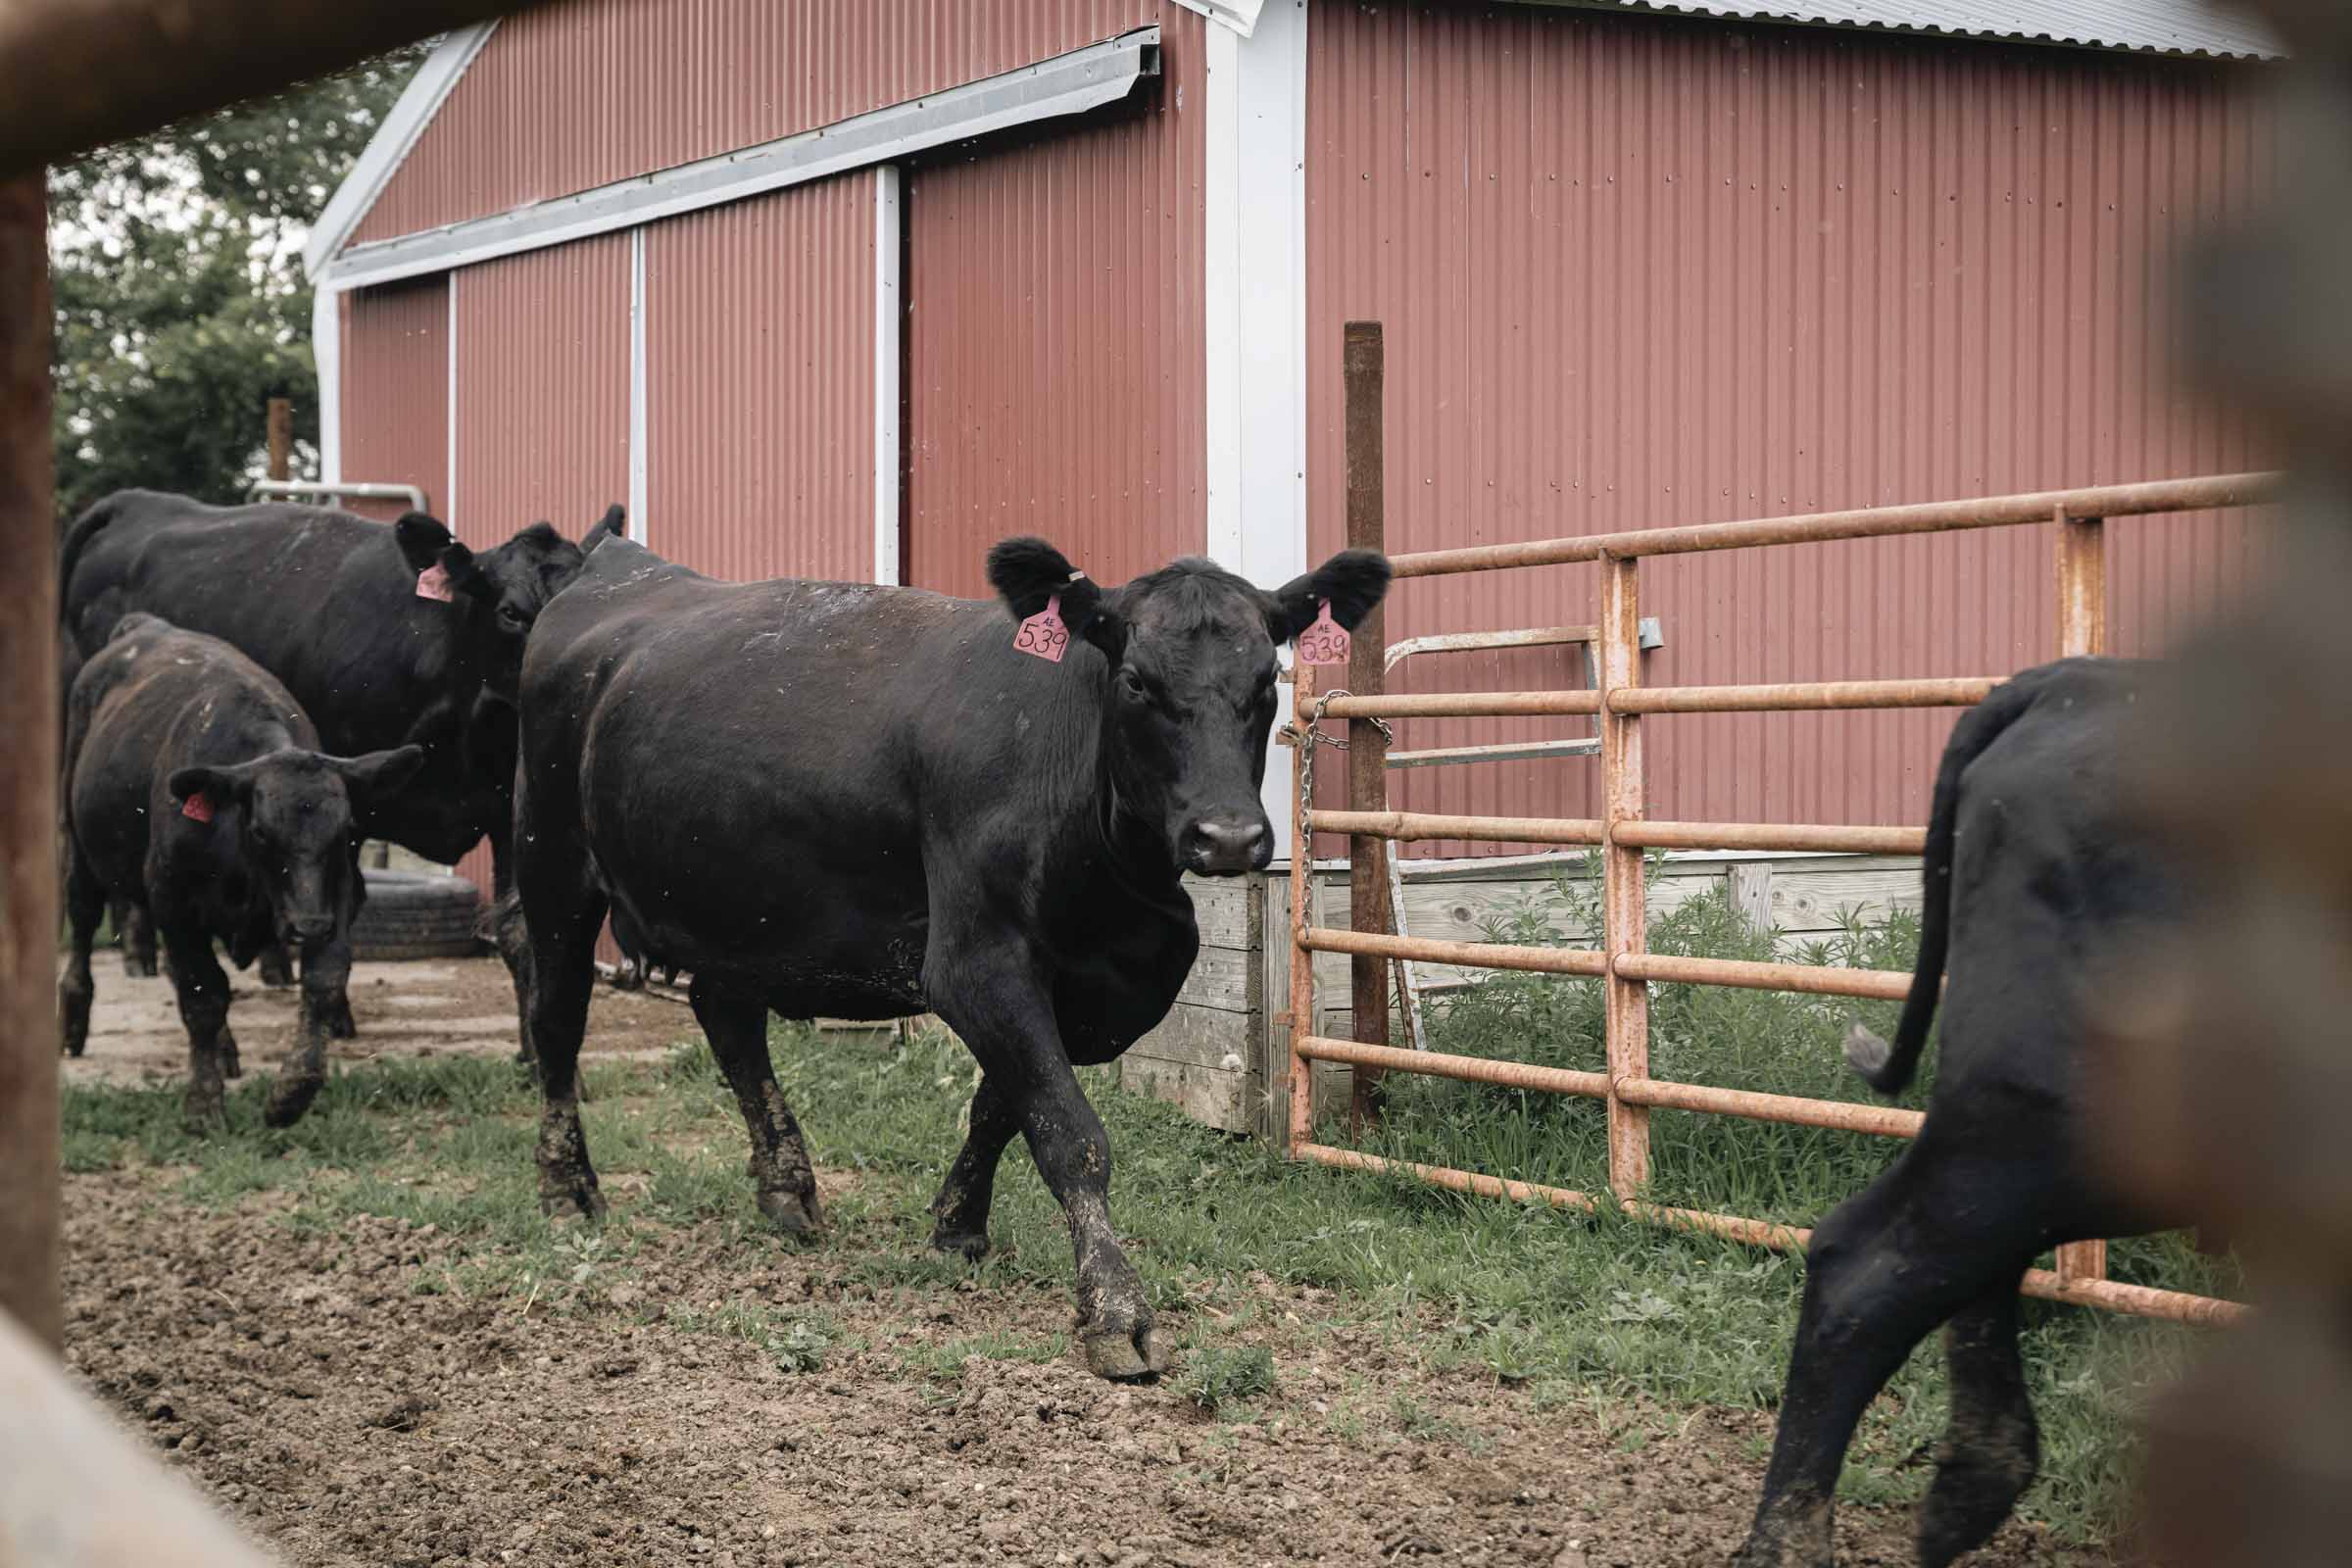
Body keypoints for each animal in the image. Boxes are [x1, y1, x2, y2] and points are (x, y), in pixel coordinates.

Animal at [57, 489, 624, 1053]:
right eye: (511, 612)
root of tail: (135, 501)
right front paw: (332, 1018)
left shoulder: (507, 810)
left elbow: (520, 931)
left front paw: (531, 1052)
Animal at [60, 614, 424, 1128]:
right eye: (260, 831)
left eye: (347, 828)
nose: (308, 925)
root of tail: (144, 626)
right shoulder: (173, 901)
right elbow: (202, 996)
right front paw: (203, 1103)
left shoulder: (337, 893)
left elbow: (323, 982)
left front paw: (293, 1090)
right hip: (78, 839)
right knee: (83, 917)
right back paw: (74, 1017)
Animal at [501, 534, 1388, 1381]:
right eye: (1136, 681)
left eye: (1267, 681)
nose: (1228, 837)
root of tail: (619, 566)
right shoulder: (972, 960)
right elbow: (1070, 1131)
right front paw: (1115, 1310)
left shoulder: (1106, 981)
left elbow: (1004, 1106)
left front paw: (958, 1224)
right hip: (552, 862)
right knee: (557, 1019)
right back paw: (567, 1188)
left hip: (732, 899)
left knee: (728, 1020)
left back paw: (787, 1188)